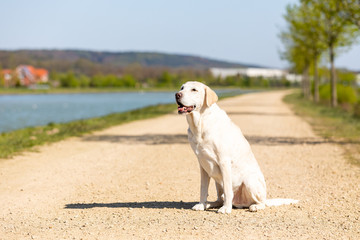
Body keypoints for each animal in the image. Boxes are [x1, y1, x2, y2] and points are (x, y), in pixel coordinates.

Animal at [175, 81, 298, 213]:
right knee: (220, 199)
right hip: (217, 181)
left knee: (261, 202)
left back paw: (254, 206)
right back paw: (209, 204)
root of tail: (240, 203)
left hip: (249, 180)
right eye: (182, 88)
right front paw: (201, 204)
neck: (200, 123)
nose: (177, 94)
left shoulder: (224, 161)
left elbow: (228, 190)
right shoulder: (203, 165)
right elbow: (203, 188)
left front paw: (226, 209)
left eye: (194, 90)